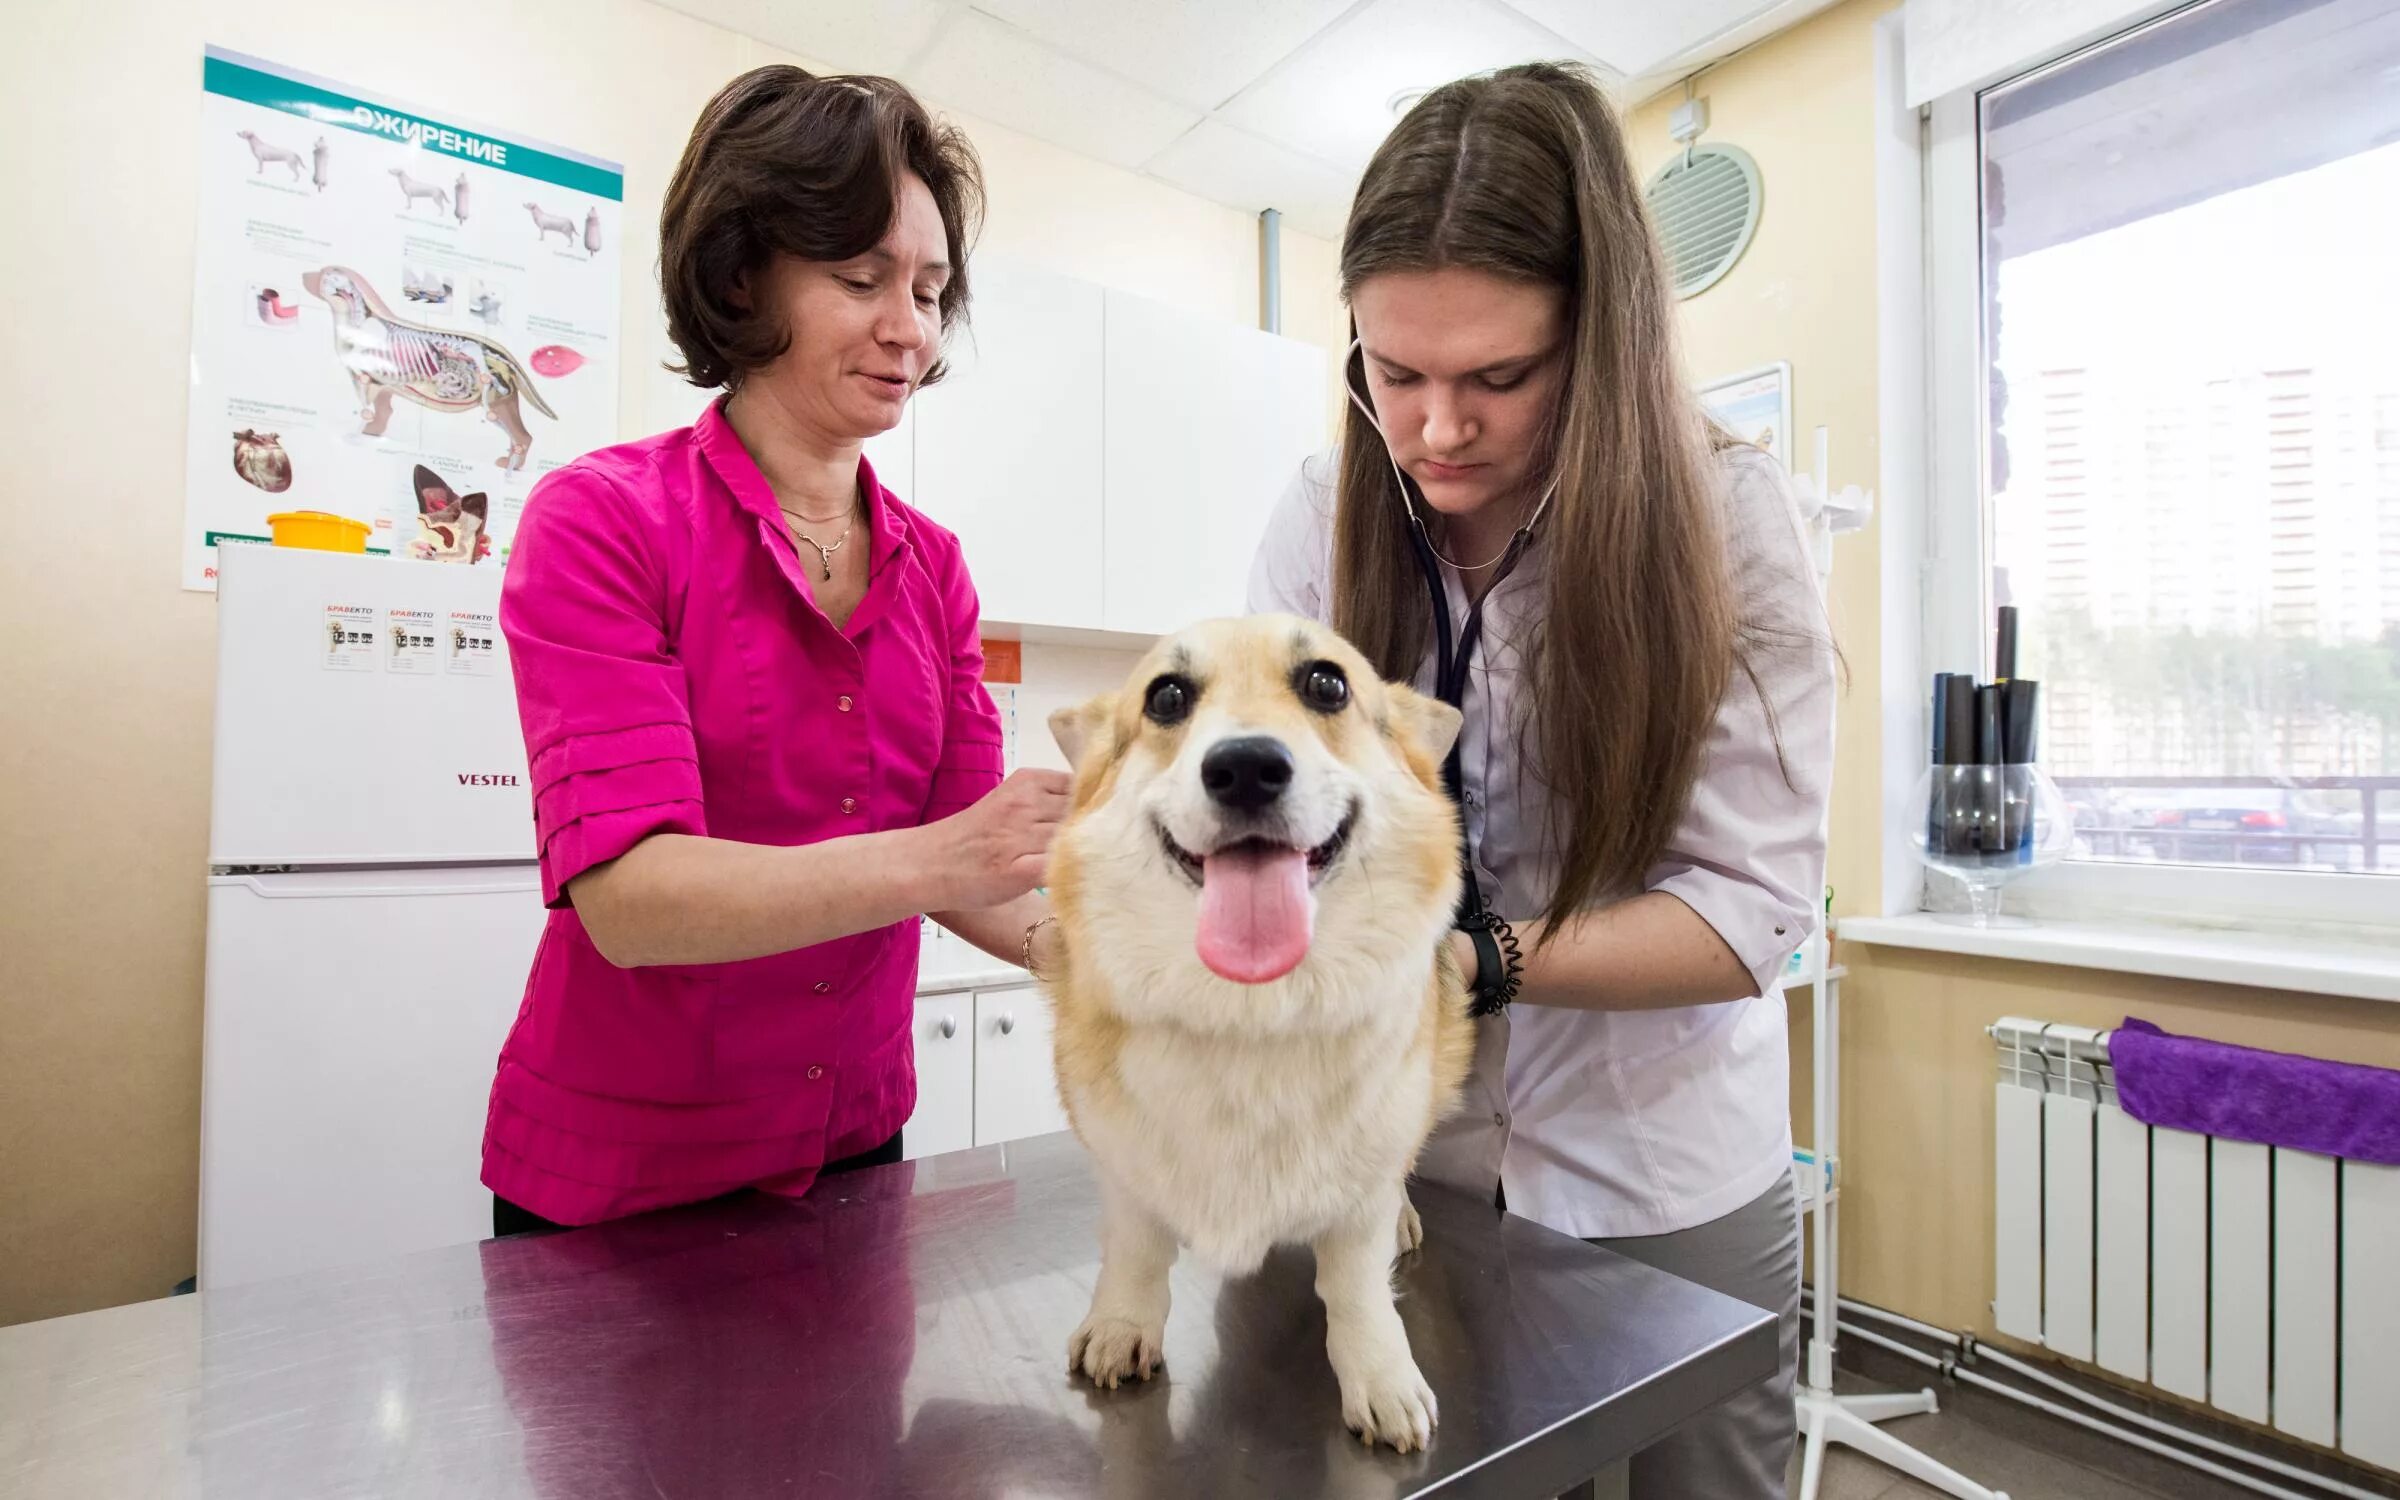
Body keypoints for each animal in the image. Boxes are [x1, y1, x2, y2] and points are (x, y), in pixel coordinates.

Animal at [1041, 612, 1468, 1449]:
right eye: (1167, 697)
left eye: (1327, 684)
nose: (1244, 767)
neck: (1249, 1008)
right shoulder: (1122, 1163)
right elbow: (1135, 1251)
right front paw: (1121, 1326)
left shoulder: (1363, 1185)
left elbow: (1356, 1284)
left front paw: (1382, 1379)